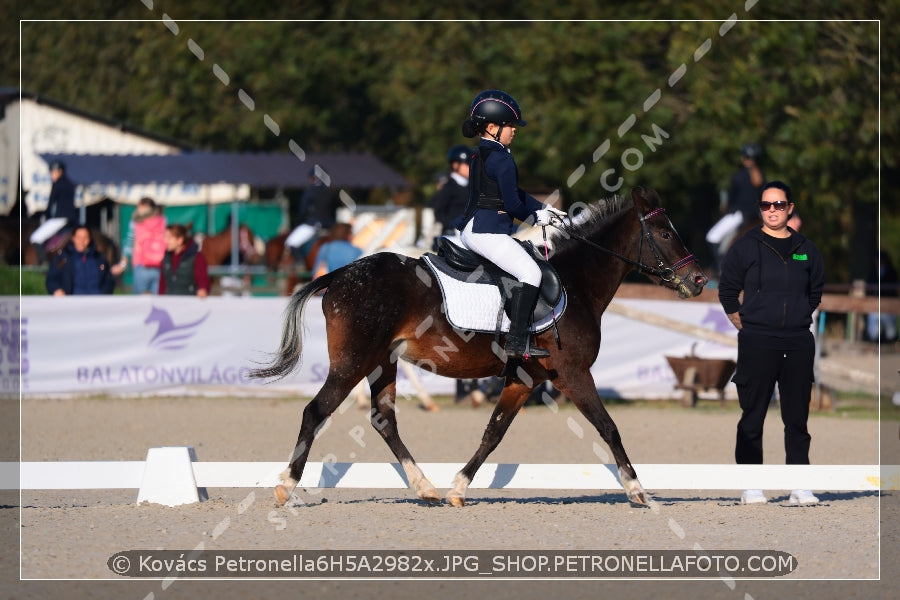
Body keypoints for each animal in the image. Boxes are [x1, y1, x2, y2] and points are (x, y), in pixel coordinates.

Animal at [250, 188, 708, 506]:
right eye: (665, 232)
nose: (700, 280)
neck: (577, 283)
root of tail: (342, 273)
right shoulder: (574, 374)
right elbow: (609, 427)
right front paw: (637, 490)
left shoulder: (526, 378)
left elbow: (494, 432)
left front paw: (458, 487)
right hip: (353, 362)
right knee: (316, 412)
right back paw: (285, 486)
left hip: (382, 363)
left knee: (384, 420)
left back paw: (426, 487)